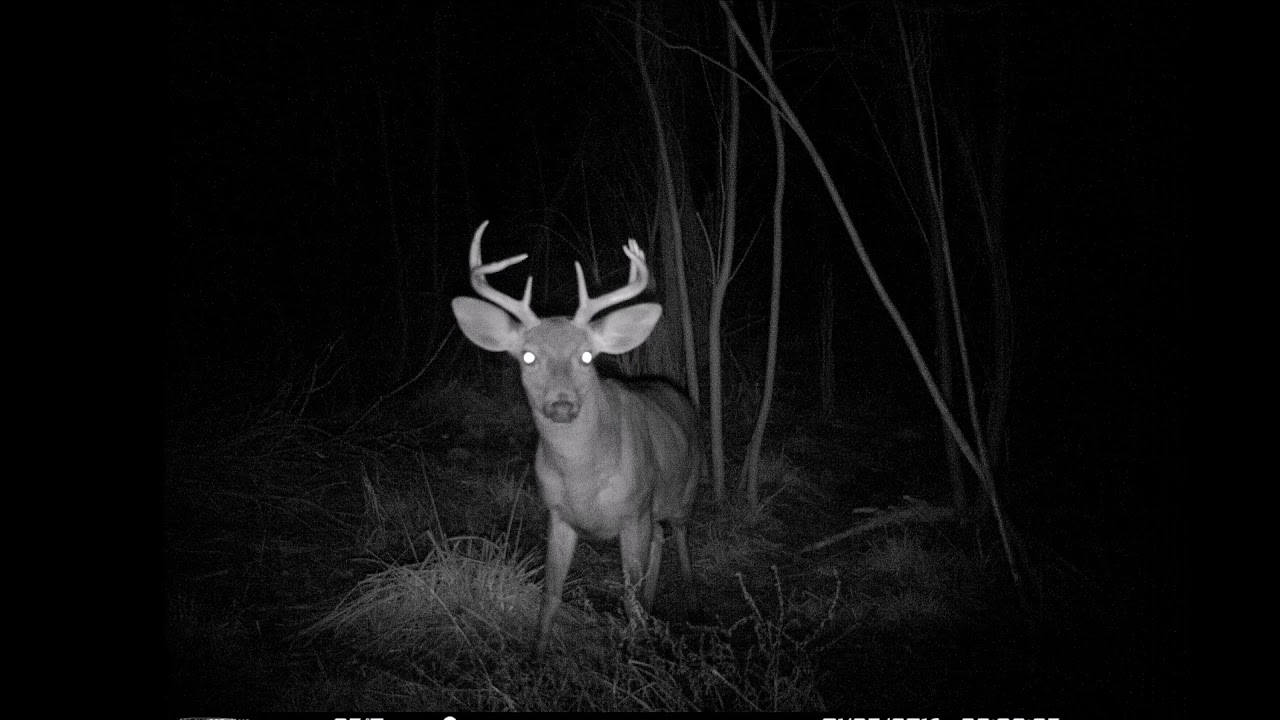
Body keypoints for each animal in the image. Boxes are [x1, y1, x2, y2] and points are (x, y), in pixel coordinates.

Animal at [451, 221, 701, 658]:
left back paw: (689, 604)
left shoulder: (633, 512)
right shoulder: (558, 513)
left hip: (682, 493)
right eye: (528, 356)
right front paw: (536, 659)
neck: (583, 478)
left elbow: (628, 599)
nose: (562, 404)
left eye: (587, 356)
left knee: (680, 538)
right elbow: (550, 593)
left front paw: (634, 657)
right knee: (660, 541)